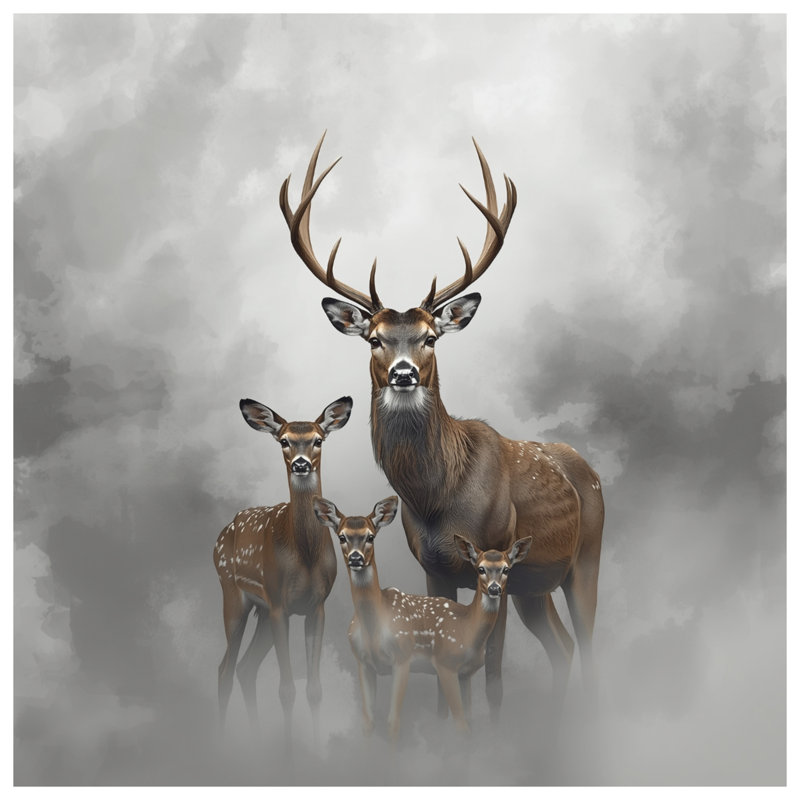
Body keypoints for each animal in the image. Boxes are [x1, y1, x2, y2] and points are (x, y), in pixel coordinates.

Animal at [212, 395, 352, 751]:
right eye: (284, 440)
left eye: (318, 439)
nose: (301, 464)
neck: (305, 554)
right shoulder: (279, 604)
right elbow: (286, 690)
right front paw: (290, 755)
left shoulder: (316, 606)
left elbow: (314, 690)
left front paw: (315, 752)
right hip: (234, 594)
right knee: (225, 669)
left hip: (262, 613)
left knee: (245, 668)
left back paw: (258, 742)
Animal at [312, 494, 533, 740]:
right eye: (341, 536)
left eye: (370, 536)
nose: (356, 558)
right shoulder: (364, 662)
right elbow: (370, 723)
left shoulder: (411, 658)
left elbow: (404, 722)